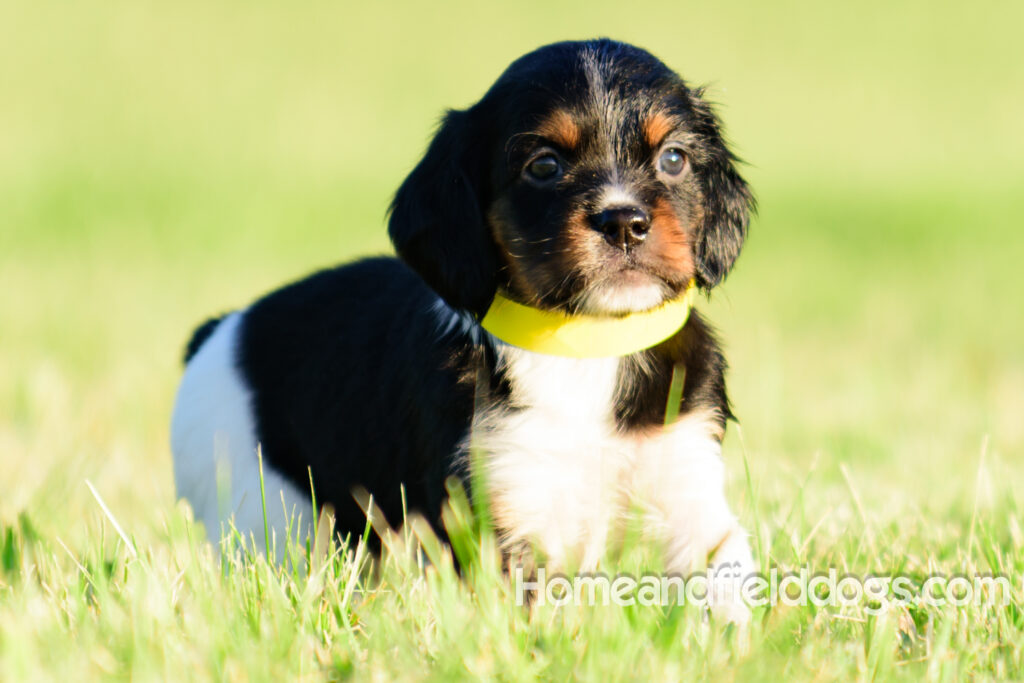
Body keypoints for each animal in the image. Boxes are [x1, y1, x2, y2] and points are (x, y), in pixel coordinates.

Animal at [172, 36, 757, 614]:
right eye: (544, 165)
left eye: (674, 158)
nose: (624, 223)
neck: (586, 344)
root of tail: (222, 328)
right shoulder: (501, 502)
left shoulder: (686, 479)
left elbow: (724, 577)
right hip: (265, 512)